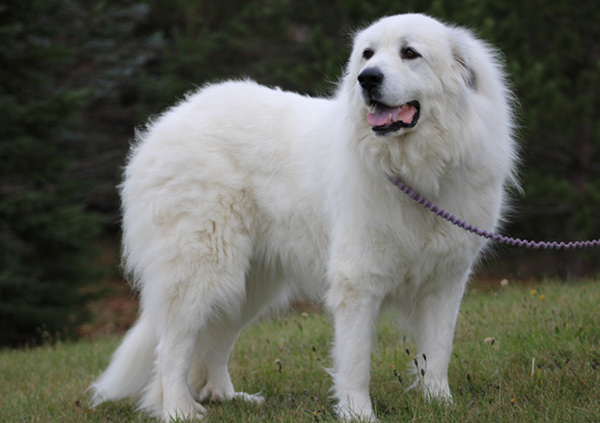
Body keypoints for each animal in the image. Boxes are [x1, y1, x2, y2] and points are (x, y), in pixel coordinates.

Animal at [89, 14, 516, 423]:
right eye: (367, 54)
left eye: (409, 53)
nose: (367, 78)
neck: (416, 170)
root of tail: (167, 120)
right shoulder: (358, 281)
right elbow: (356, 361)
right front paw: (358, 414)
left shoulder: (446, 281)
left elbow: (438, 351)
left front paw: (440, 405)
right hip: (201, 269)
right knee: (171, 348)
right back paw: (178, 409)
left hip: (247, 283)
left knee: (214, 340)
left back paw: (227, 397)